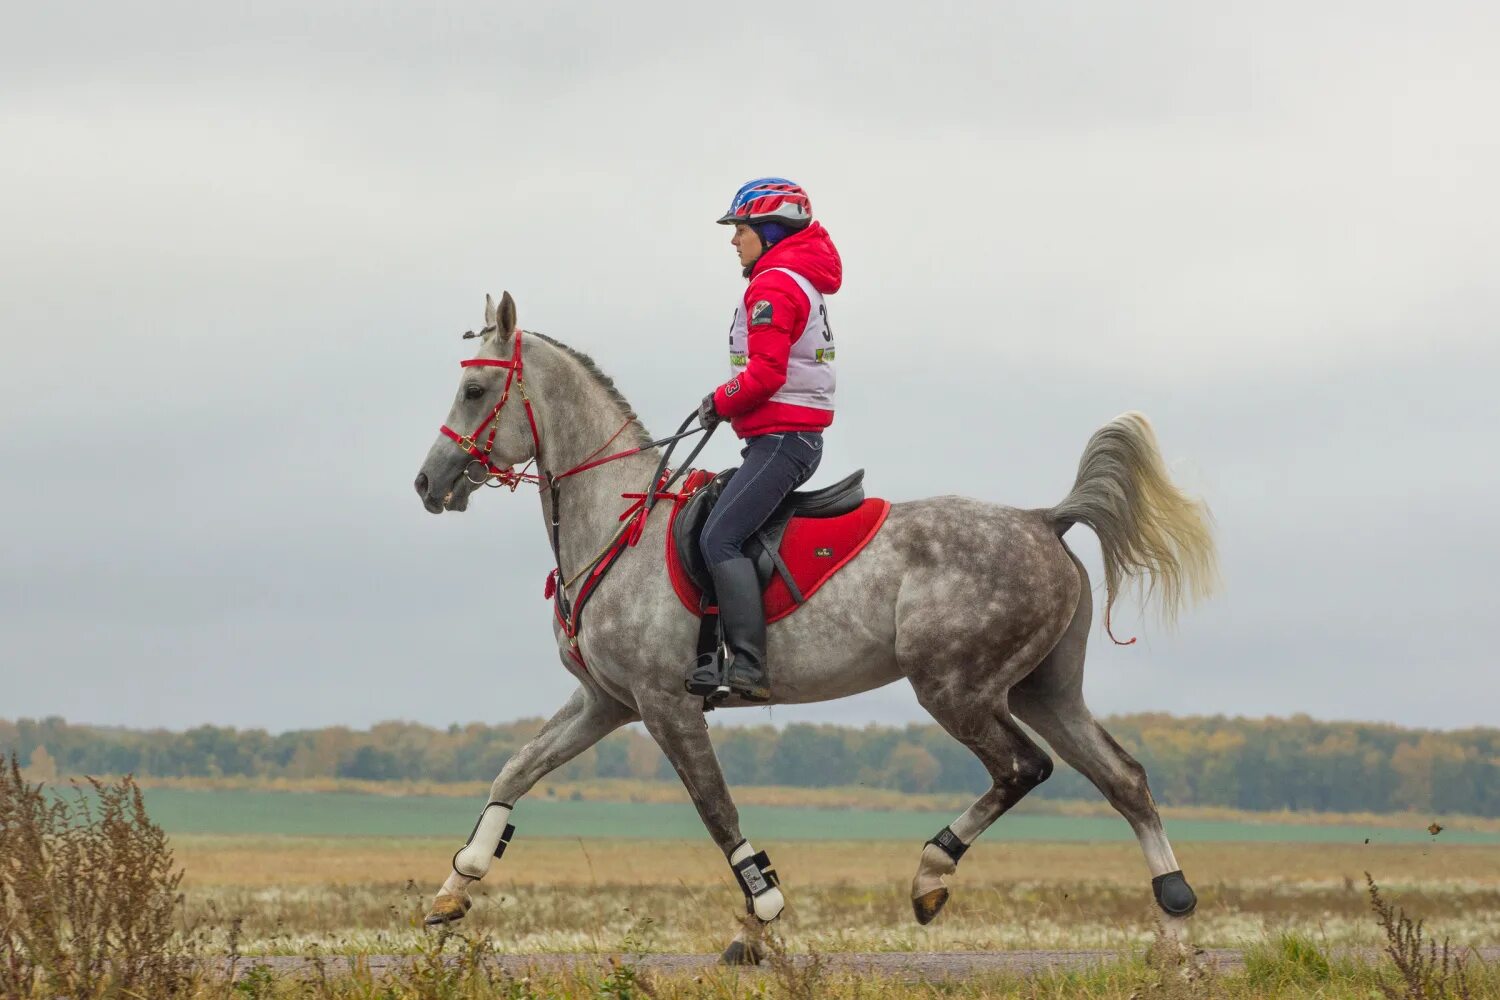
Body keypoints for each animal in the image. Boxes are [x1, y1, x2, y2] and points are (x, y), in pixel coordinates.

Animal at [411, 293, 1218, 965]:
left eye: (475, 391)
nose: (427, 483)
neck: (619, 521)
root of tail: (1042, 518)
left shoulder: (666, 706)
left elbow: (717, 811)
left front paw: (761, 919)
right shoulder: (607, 702)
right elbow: (516, 769)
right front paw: (455, 886)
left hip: (956, 687)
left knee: (1023, 768)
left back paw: (931, 875)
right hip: (1043, 690)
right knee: (1124, 779)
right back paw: (1173, 929)